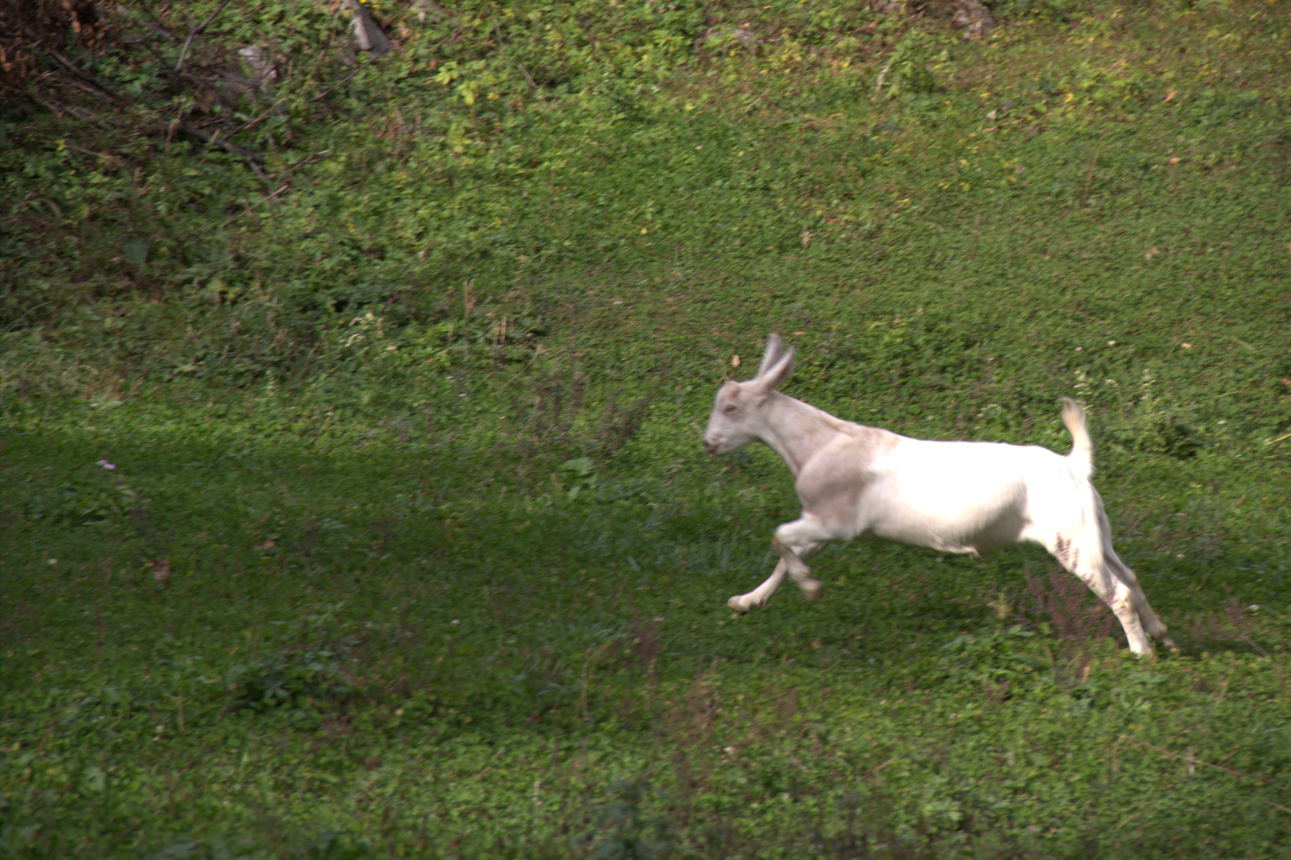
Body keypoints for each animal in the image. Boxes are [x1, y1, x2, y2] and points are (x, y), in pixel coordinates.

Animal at [702, 330, 1177, 653]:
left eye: (731, 407)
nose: (708, 443)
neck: (819, 445)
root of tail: (1073, 464)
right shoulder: (824, 524)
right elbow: (788, 555)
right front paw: (746, 601)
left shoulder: (834, 520)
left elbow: (779, 537)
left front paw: (810, 588)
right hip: (1093, 531)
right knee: (1129, 575)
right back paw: (1162, 635)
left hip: (1069, 539)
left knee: (1117, 592)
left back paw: (1141, 653)